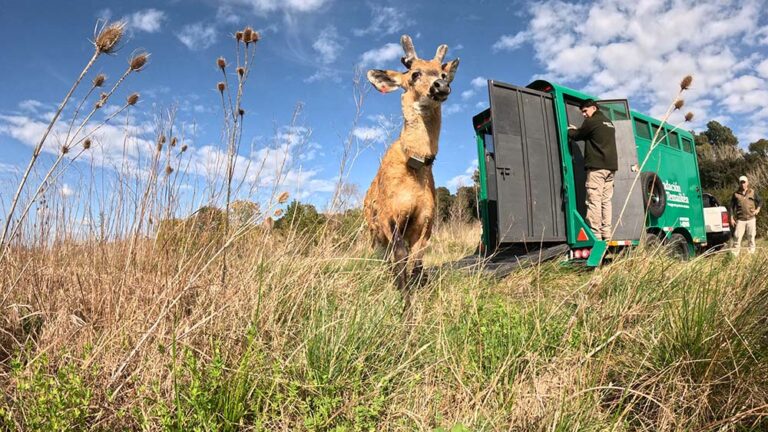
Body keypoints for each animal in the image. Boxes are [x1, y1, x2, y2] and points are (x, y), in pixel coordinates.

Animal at [363, 35, 459, 303]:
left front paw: (416, 299)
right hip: (371, 231)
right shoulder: (389, 215)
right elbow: (400, 258)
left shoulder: (425, 222)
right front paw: (404, 302)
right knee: (383, 257)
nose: (440, 85)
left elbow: (416, 263)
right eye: (415, 74)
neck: (414, 165)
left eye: (443, 73)